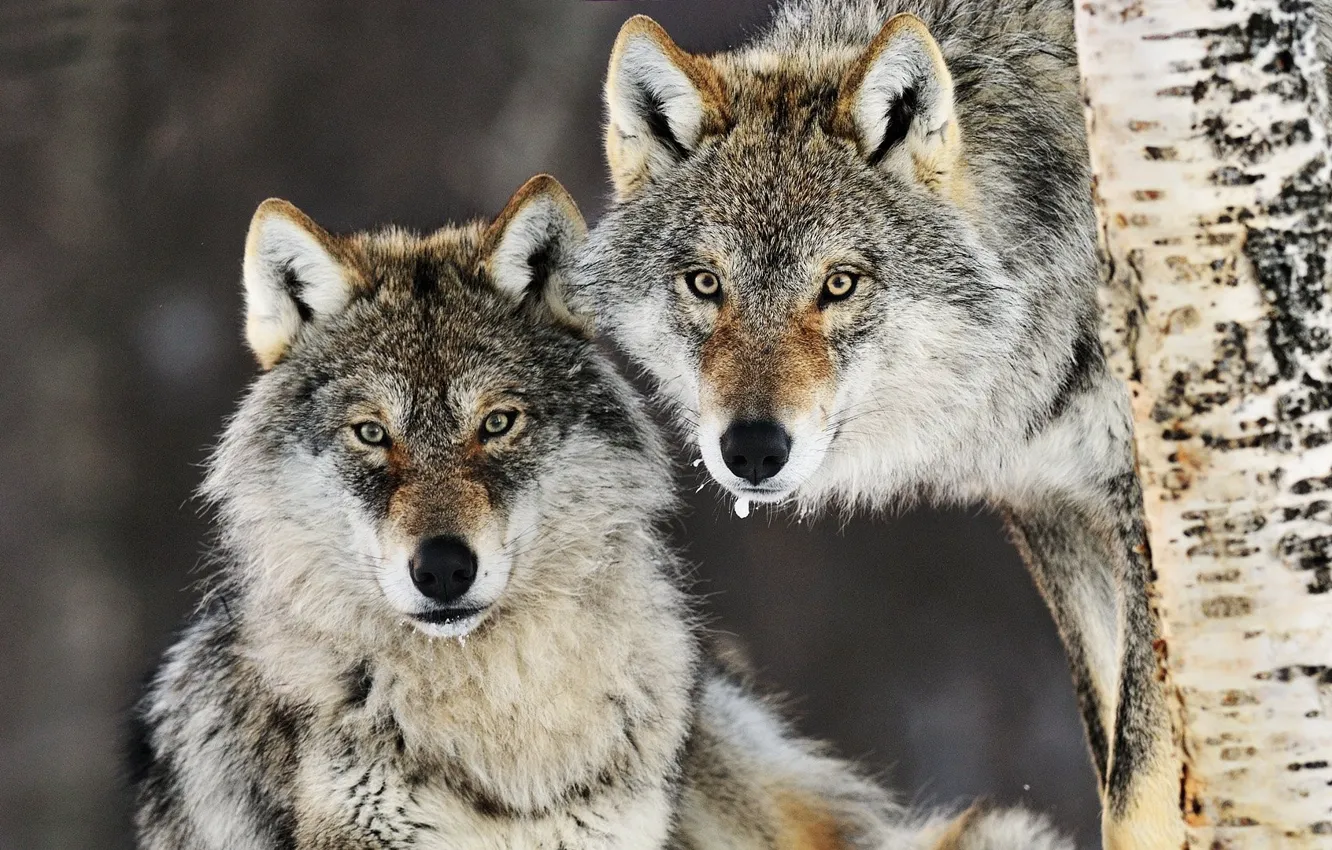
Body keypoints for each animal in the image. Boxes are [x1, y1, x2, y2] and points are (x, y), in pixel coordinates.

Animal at [578, 1, 1331, 846]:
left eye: (840, 284)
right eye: (706, 283)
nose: (753, 449)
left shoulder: (1144, 515)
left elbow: (1135, 788)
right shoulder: (1056, 510)